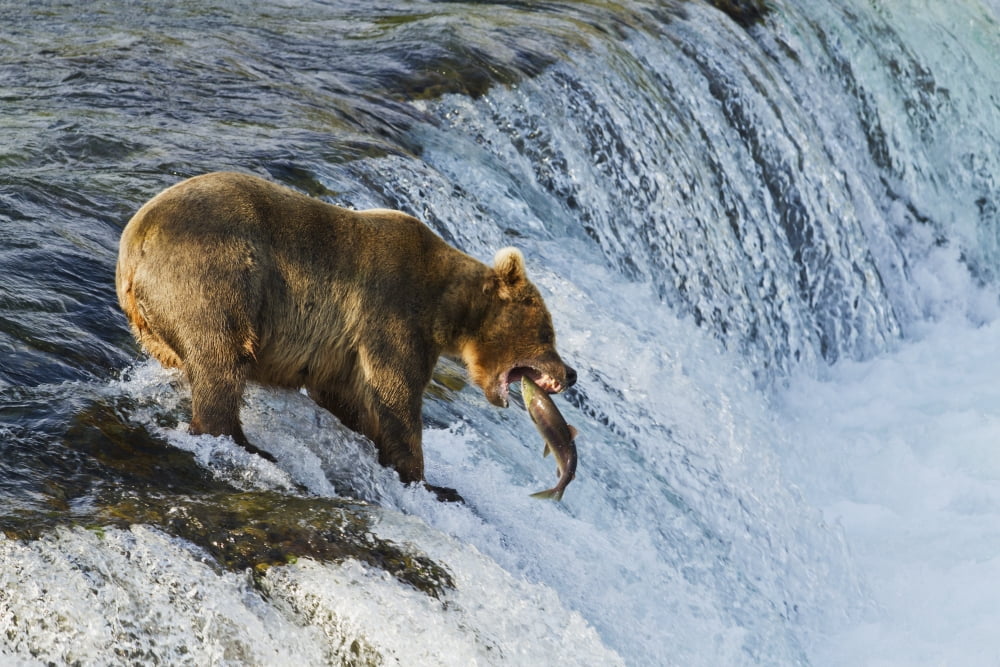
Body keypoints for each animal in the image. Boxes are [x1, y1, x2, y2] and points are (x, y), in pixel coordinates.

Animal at [116, 171, 576, 501]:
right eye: (548, 332)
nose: (569, 373)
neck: (446, 308)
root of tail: (135, 244)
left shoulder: (340, 351)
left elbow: (348, 396)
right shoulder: (392, 311)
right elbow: (394, 395)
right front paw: (430, 483)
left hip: (157, 323)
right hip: (214, 274)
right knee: (222, 357)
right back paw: (245, 443)